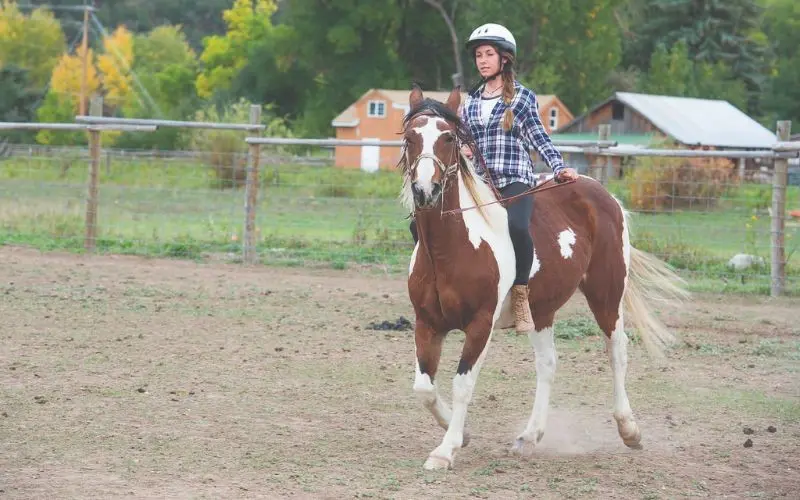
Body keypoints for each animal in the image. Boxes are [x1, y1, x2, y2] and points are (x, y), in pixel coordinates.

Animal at [400, 84, 688, 470]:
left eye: (447, 137)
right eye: (410, 137)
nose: (425, 190)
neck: (451, 249)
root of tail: (603, 194)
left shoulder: (480, 325)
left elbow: (463, 385)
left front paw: (445, 451)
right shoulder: (427, 323)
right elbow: (424, 388)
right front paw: (463, 434)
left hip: (606, 295)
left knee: (617, 350)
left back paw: (630, 430)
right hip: (541, 310)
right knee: (548, 364)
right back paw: (529, 436)